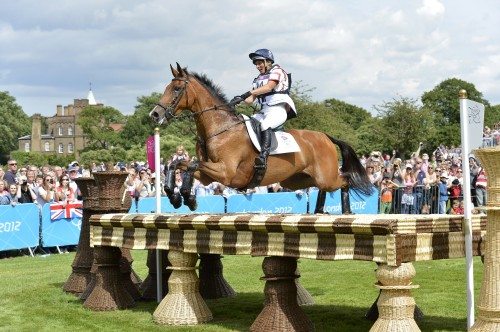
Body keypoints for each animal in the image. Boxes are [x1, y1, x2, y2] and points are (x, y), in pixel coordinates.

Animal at [148, 63, 372, 213]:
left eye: (177, 89)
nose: (155, 115)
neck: (220, 128)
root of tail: (325, 136)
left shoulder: (225, 173)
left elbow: (191, 165)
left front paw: (187, 196)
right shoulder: (208, 175)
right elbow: (178, 164)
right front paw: (174, 195)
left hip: (326, 176)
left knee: (344, 180)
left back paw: (346, 211)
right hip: (298, 179)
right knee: (323, 187)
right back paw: (319, 211)